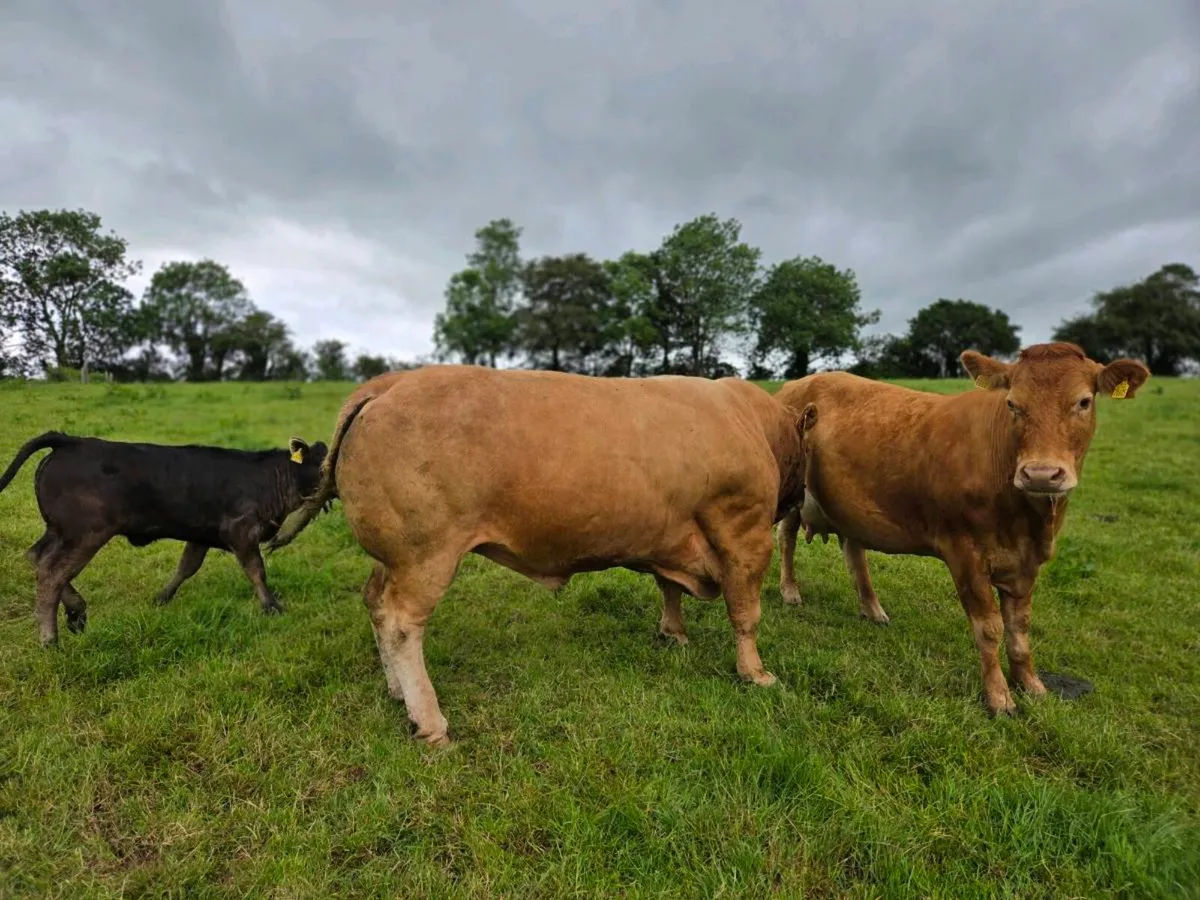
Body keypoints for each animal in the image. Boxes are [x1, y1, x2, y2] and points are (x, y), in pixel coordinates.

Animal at [0, 432, 329, 646]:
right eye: (324, 464)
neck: (271, 479)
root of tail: (71, 440)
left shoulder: (202, 534)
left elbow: (186, 567)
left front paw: (162, 597)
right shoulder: (241, 532)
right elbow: (256, 571)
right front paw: (271, 606)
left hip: (59, 531)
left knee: (37, 557)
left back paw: (76, 611)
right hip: (85, 533)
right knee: (52, 573)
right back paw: (50, 640)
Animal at [267, 364, 817, 747]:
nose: (800, 499)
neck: (751, 422)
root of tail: (391, 382)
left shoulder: (673, 534)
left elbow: (669, 589)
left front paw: (674, 633)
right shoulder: (743, 530)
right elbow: (745, 611)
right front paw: (756, 673)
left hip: (394, 555)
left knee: (375, 603)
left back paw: (397, 691)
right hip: (425, 554)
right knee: (402, 623)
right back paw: (430, 720)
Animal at [772, 341, 1150, 717]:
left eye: (1084, 401)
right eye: (1012, 403)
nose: (1041, 474)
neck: (1025, 520)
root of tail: (797, 384)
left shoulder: (1027, 562)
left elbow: (1020, 630)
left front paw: (1031, 684)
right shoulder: (964, 553)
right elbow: (989, 628)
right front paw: (999, 697)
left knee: (854, 549)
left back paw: (872, 609)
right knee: (787, 539)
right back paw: (790, 591)